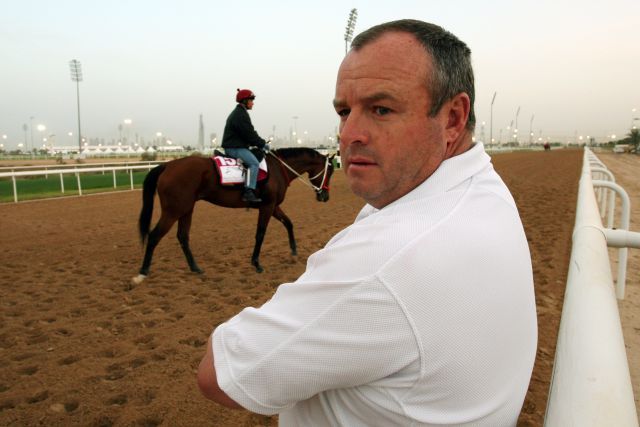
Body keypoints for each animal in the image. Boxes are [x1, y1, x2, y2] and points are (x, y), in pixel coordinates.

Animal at [133, 147, 338, 284]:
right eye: (329, 172)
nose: (325, 196)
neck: (277, 168)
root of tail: (168, 165)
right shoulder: (267, 207)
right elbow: (260, 234)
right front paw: (256, 263)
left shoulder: (273, 206)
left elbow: (288, 223)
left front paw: (294, 252)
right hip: (173, 210)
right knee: (154, 236)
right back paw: (142, 273)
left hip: (186, 209)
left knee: (182, 236)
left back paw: (195, 268)